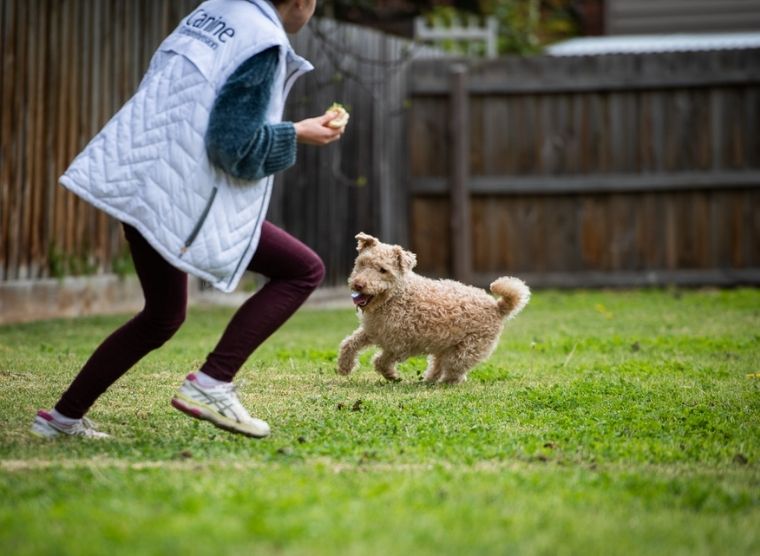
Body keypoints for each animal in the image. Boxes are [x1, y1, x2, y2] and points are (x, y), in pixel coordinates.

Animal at [338, 232, 528, 384]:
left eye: (383, 270)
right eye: (362, 263)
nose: (358, 284)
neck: (394, 297)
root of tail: (497, 307)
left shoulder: (400, 345)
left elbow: (381, 361)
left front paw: (392, 376)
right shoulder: (373, 331)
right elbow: (349, 343)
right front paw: (344, 367)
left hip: (465, 350)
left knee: (455, 371)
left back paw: (444, 383)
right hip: (445, 347)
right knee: (439, 365)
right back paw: (428, 380)